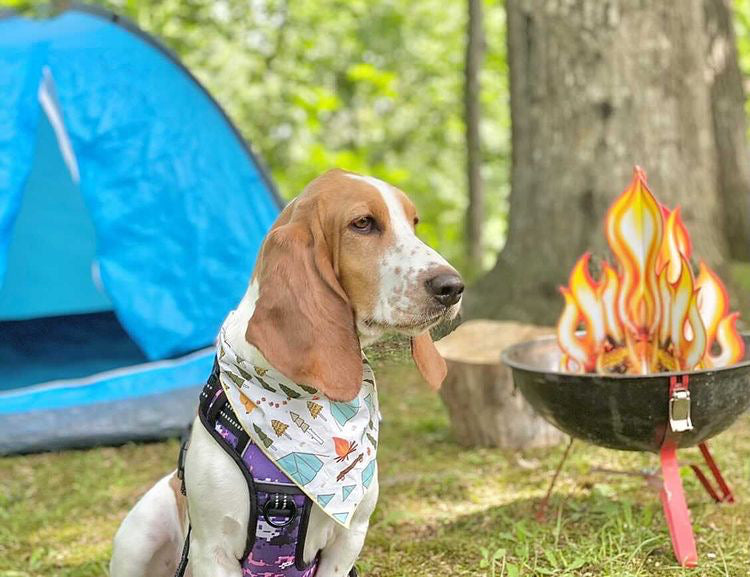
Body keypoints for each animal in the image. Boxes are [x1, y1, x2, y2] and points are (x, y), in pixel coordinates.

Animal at [110, 169, 464, 576]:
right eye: (363, 223)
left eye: (414, 223)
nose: (453, 287)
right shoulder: (211, 550)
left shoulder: (348, 540)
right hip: (141, 537)